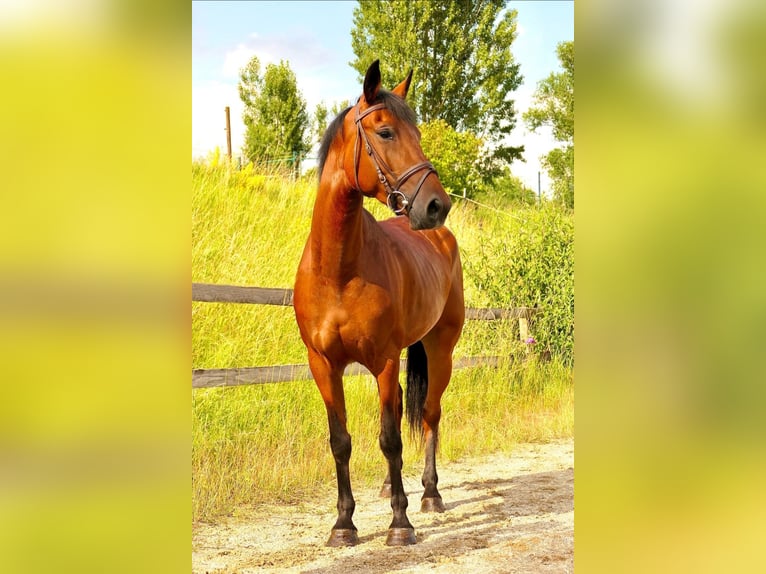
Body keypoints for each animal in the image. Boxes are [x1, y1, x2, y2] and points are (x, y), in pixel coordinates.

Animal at [292, 59, 462, 548]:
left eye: (418, 133)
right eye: (385, 132)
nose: (436, 205)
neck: (338, 270)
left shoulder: (384, 360)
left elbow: (390, 438)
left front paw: (400, 523)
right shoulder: (323, 365)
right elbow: (341, 440)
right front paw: (343, 524)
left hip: (440, 349)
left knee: (429, 415)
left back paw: (428, 494)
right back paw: (391, 486)